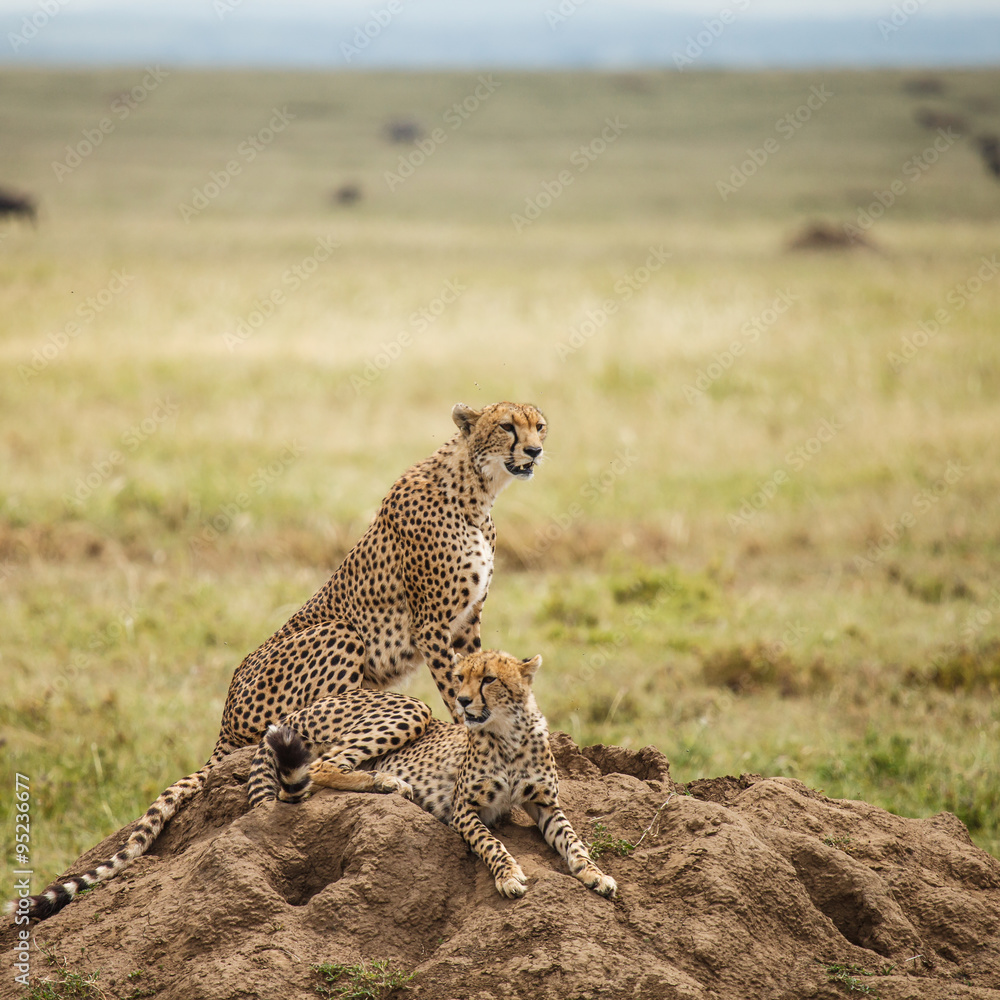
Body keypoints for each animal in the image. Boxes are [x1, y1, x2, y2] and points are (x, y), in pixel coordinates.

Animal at [13, 401, 547, 921]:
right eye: (506, 426)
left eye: (539, 425)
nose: (536, 450)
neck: (477, 490)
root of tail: (225, 720)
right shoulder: (432, 621)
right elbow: (454, 691)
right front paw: (467, 731)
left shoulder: (468, 621)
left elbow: (477, 673)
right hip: (339, 633)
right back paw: (380, 777)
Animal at [253, 648, 618, 901]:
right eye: (460, 677)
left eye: (489, 678)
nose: (463, 700)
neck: (509, 733)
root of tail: (302, 708)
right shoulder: (463, 809)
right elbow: (490, 843)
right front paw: (509, 875)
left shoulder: (546, 804)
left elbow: (573, 840)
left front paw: (595, 874)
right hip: (413, 708)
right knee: (320, 766)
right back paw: (388, 781)